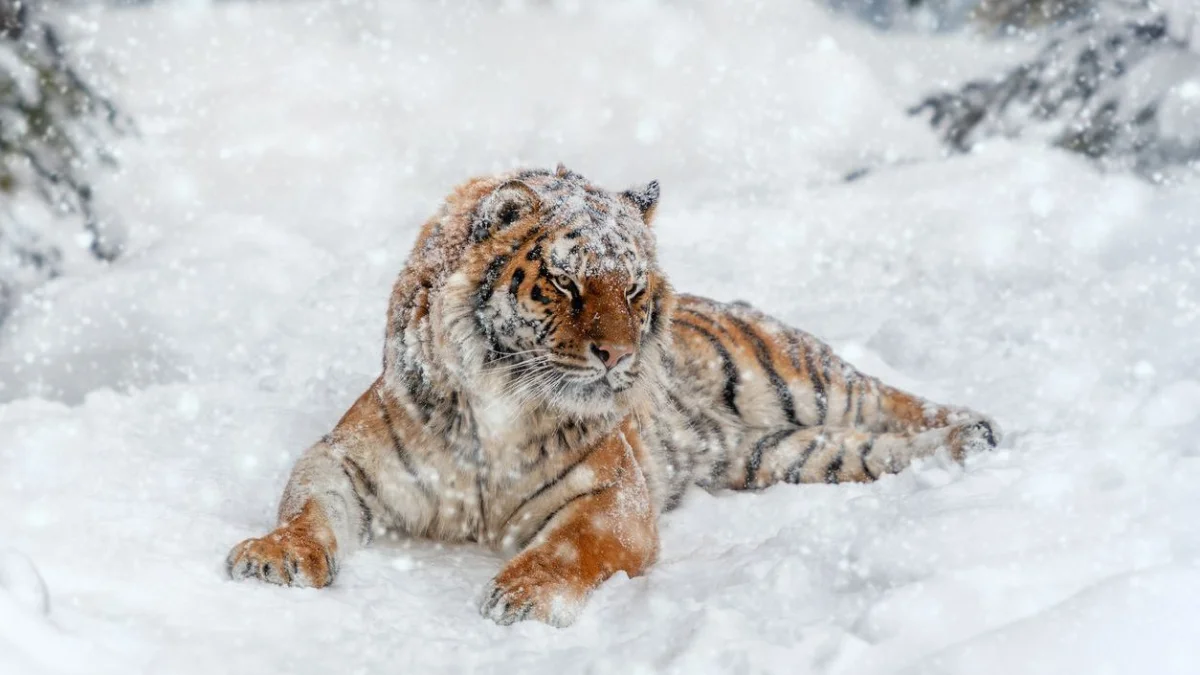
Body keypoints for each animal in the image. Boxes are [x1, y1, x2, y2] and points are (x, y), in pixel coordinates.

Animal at [229, 163, 998, 624]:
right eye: (567, 282)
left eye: (631, 288)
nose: (620, 356)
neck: (499, 408)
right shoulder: (345, 460)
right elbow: (308, 510)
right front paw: (274, 556)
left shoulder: (613, 496)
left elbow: (570, 548)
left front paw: (521, 595)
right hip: (785, 454)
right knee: (869, 448)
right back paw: (961, 446)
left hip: (792, 376)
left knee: (887, 397)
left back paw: (978, 429)